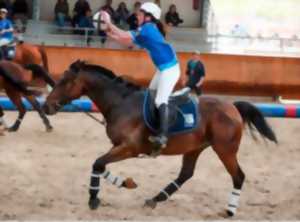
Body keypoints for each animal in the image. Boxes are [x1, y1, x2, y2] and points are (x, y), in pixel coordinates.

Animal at [42, 60, 276, 217]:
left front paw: (93, 198)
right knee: (185, 174)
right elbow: (99, 165)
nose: (46, 106)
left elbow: (98, 163)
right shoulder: (118, 146)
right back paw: (155, 199)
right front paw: (126, 183)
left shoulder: (129, 148)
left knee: (238, 176)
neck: (120, 103)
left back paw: (229, 210)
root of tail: (232, 106)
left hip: (225, 149)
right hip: (195, 148)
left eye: (64, 81)